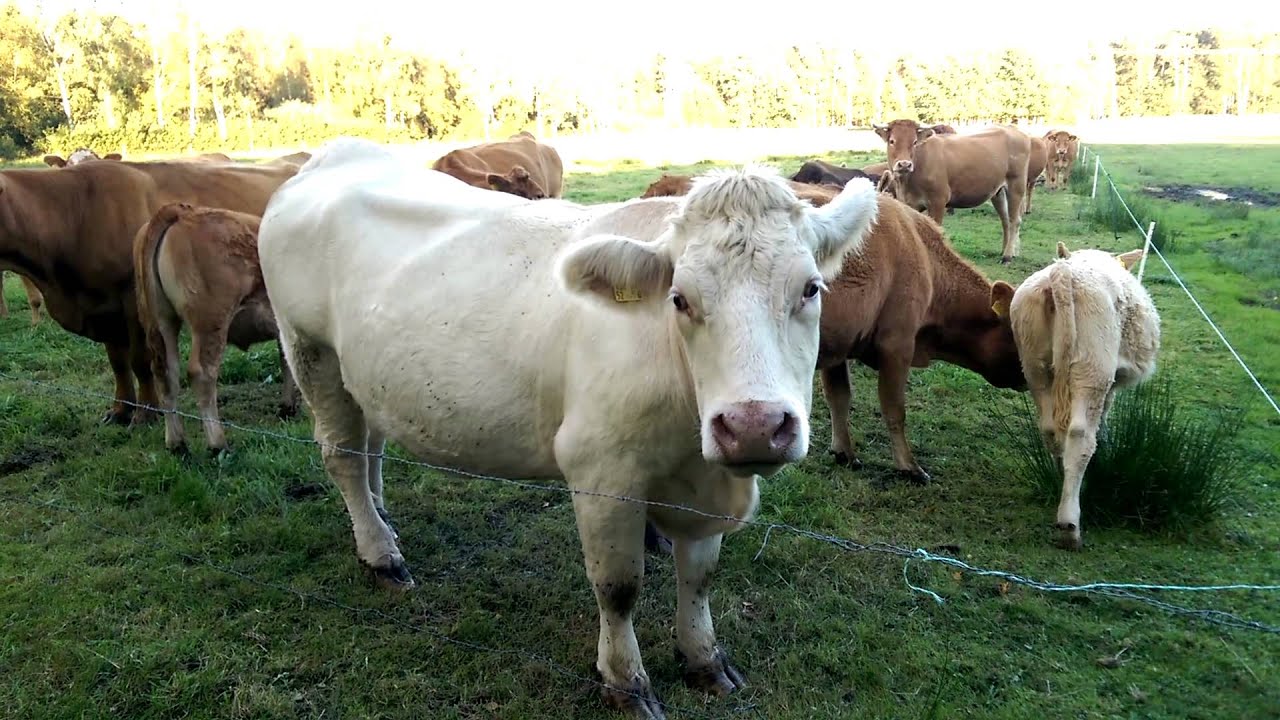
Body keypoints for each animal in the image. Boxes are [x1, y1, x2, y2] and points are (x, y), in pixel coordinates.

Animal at [0, 159, 298, 425]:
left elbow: (140, 361)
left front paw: (146, 412)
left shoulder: (132, 301)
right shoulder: (105, 309)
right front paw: (120, 410)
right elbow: (118, 363)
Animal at [133, 203, 299, 456]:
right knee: (201, 373)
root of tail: (181, 211)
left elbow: (287, 360)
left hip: (160, 321)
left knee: (166, 373)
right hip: (211, 321)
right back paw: (217, 444)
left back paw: (177, 443)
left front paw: (288, 407)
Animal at [817, 194, 1026, 483]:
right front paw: (909, 467)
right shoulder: (897, 345)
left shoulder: (838, 346)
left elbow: (838, 397)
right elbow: (894, 409)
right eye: (1017, 335)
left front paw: (843, 452)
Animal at [873, 120, 1031, 263]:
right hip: (998, 192)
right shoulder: (909, 203)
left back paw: (1007, 256)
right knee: (1005, 220)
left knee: (1014, 220)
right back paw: (1005, 250)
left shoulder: (938, 201)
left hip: (1016, 185)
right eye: (892, 141)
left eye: (914, 142)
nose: (905, 164)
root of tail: (1015, 131)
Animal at [995, 241, 1160, 550]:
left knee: (1050, 430)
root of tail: (1063, 273)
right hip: (1092, 370)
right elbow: (1103, 420)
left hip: (1035, 367)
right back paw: (1069, 524)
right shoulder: (1110, 384)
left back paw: (1059, 479)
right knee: (1080, 436)